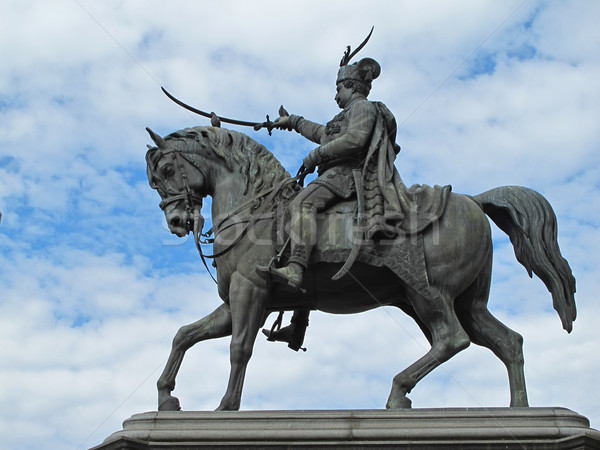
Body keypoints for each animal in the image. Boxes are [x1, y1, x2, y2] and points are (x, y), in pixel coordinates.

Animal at [145, 124, 576, 412]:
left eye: (165, 172)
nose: (177, 222)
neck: (255, 210)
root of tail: (473, 200)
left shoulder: (249, 291)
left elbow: (239, 348)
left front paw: (225, 406)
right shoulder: (242, 301)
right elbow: (184, 335)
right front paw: (167, 395)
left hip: (428, 294)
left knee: (452, 339)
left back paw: (399, 391)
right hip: (467, 302)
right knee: (507, 342)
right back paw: (519, 408)